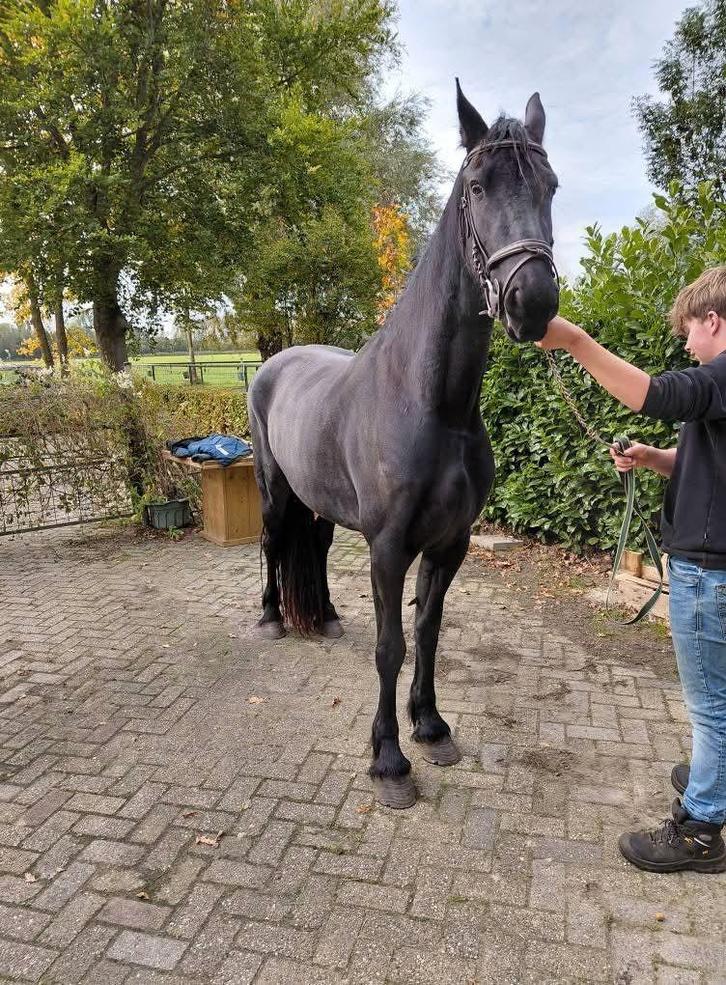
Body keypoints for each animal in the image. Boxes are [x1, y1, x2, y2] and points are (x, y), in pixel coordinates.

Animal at [247, 81, 559, 808]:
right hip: (275, 491)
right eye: (477, 186)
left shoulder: (451, 543)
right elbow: (390, 645)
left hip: (322, 504)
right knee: (274, 544)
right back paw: (273, 618)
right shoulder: (389, 546)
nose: (532, 301)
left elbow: (427, 631)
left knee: (316, 547)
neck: (432, 406)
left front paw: (432, 726)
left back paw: (329, 616)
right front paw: (388, 759)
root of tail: (276, 363)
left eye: (551, 186)